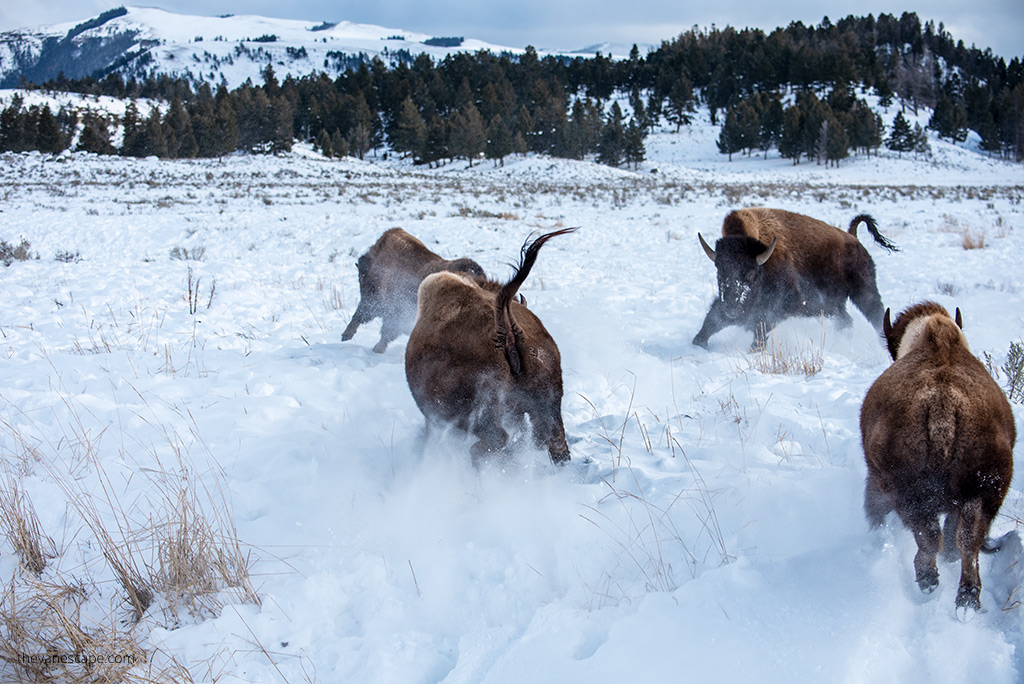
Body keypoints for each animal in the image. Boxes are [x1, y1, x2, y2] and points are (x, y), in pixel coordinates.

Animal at [688, 206, 897, 348]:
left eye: (751, 272)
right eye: (719, 270)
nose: (731, 309)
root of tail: (853, 238)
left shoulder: (790, 303)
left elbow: (762, 325)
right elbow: (710, 322)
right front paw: (700, 342)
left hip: (864, 292)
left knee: (876, 315)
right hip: (835, 306)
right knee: (846, 321)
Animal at [864, 301, 1015, 614]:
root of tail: (943, 403)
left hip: (909, 494)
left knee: (931, 538)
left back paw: (928, 581)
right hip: (982, 493)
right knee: (966, 542)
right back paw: (967, 599)